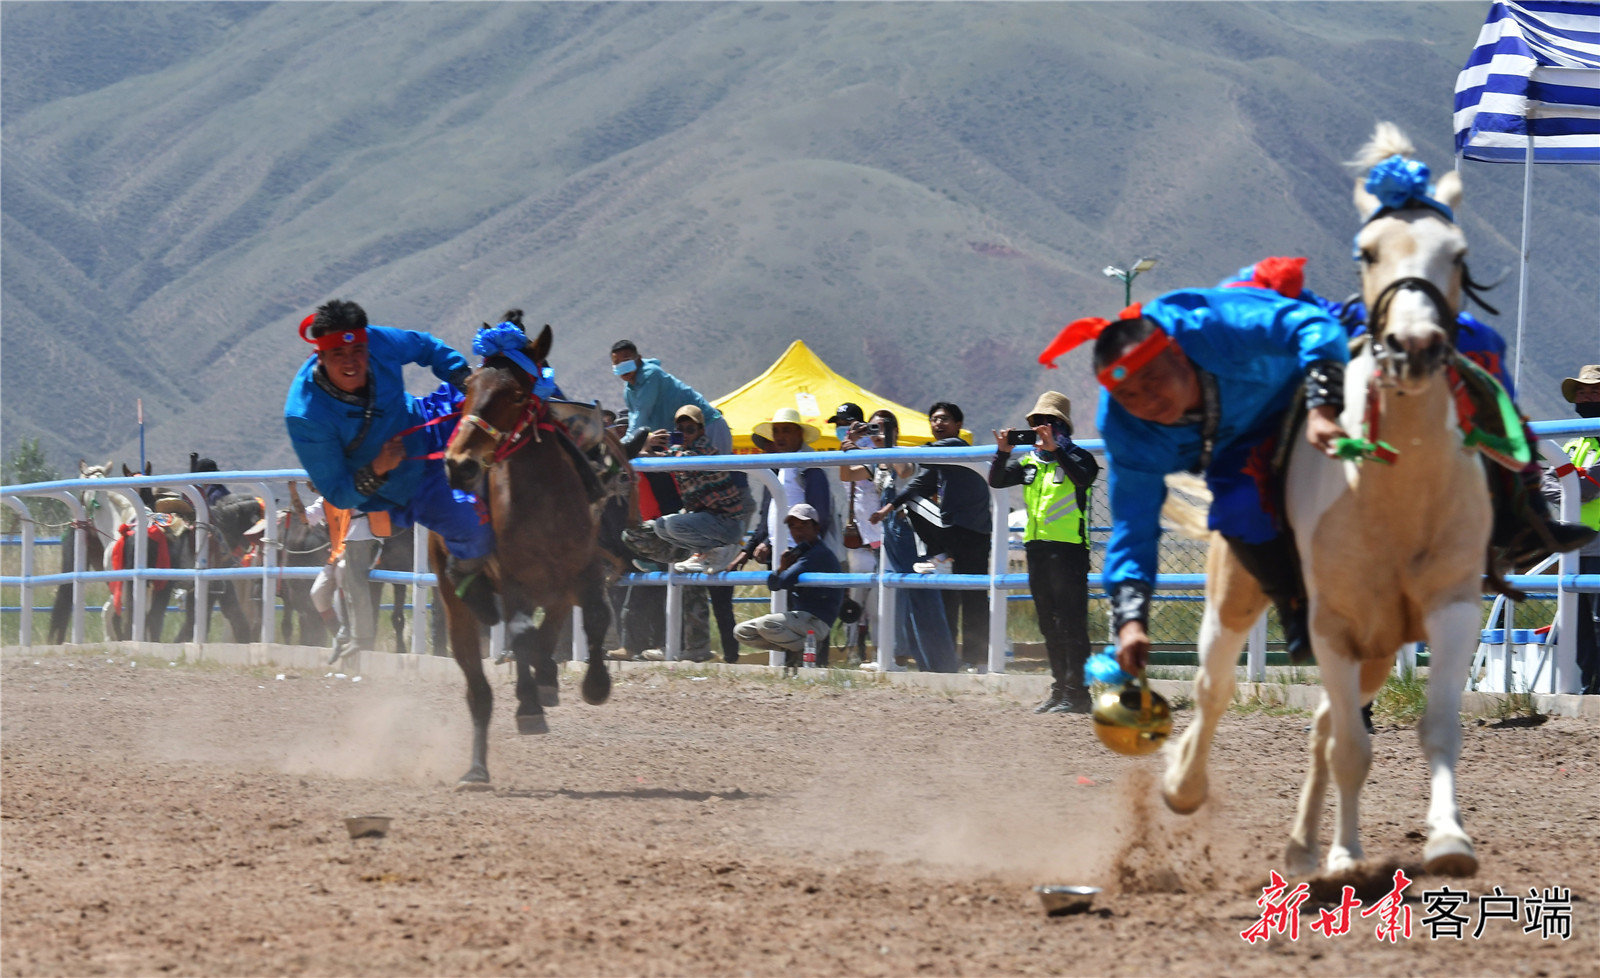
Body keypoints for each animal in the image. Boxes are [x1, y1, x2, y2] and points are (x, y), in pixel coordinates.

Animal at [441, 324, 620, 784]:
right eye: (468, 386)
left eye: (518, 395)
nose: (459, 463)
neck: (543, 501)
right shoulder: (512, 578)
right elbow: (521, 634)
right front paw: (527, 707)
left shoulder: (585, 567)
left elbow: (596, 616)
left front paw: (595, 685)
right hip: (458, 602)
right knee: (481, 680)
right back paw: (477, 768)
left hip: (556, 586)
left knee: (549, 631)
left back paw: (547, 681)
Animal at [1164, 122, 1484, 877]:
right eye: (1367, 251)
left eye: (1457, 255)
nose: (1414, 345)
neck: (1398, 496)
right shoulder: (1332, 627)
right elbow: (1352, 749)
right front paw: (1347, 857)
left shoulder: (1452, 609)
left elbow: (1436, 727)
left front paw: (1448, 840)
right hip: (1238, 595)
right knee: (1215, 690)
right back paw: (1185, 786)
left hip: (1377, 650)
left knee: (1320, 724)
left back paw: (1307, 845)